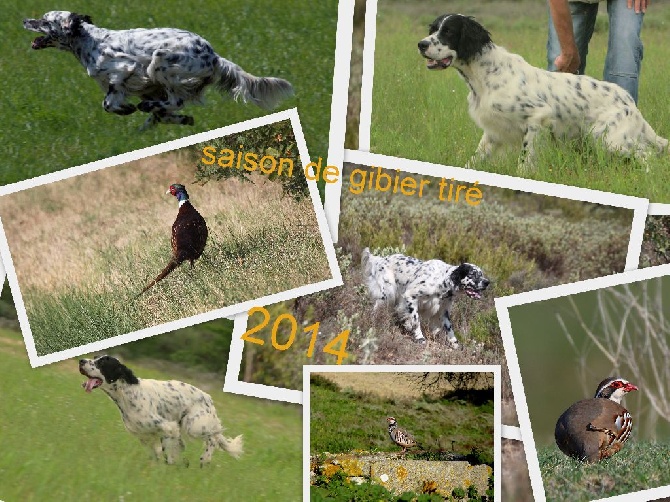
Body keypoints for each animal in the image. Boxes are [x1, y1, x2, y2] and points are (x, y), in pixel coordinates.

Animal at [25, 10, 292, 129]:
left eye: (45, 20)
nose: (25, 20)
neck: (89, 42)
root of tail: (214, 56)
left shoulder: (125, 69)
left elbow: (108, 103)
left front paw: (130, 109)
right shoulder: (141, 87)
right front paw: (174, 119)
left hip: (159, 61)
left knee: (175, 100)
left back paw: (149, 108)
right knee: (171, 105)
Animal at [78, 356, 243, 466]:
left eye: (102, 362)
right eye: (95, 358)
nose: (81, 361)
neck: (128, 393)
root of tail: (208, 398)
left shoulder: (168, 427)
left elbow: (168, 454)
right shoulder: (145, 436)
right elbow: (159, 453)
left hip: (194, 425)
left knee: (214, 438)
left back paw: (205, 459)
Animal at [362, 248, 494, 350]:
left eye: (481, 274)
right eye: (473, 274)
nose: (487, 282)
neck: (442, 281)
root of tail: (380, 259)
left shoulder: (443, 310)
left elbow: (449, 328)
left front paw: (455, 344)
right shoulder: (411, 296)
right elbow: (416, 320)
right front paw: (420, 337)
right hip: (387, 294)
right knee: (376, 308)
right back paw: (374, 321)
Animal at [418, 13, 668, 170]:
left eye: (448, 32)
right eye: (433, 29)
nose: (421, 44)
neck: (484, 74)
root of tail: (629, 102)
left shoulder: (537, 118)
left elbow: (524, 161)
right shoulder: (493, 132)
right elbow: (474, 160)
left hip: (609, 139)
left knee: (646, 156)